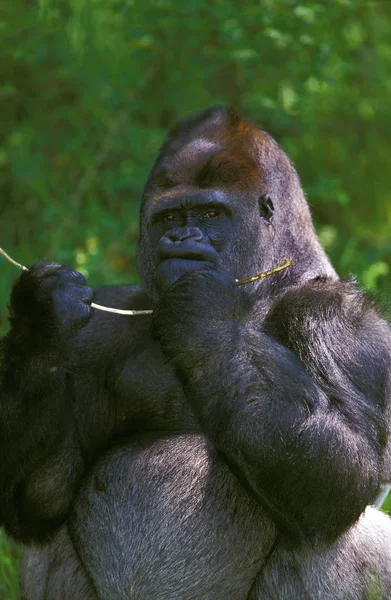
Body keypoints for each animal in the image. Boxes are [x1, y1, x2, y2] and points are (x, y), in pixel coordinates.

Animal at [0, 108, 391, 600]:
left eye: (210, 213)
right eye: (169, 217)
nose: (181, 237)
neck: (267, 287)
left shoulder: (342, 322)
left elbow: (342, 474)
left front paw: (201, 311)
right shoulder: (99, 329)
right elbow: (38, 496)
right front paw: (41, 320)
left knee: (334, 535)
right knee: (44, 535)